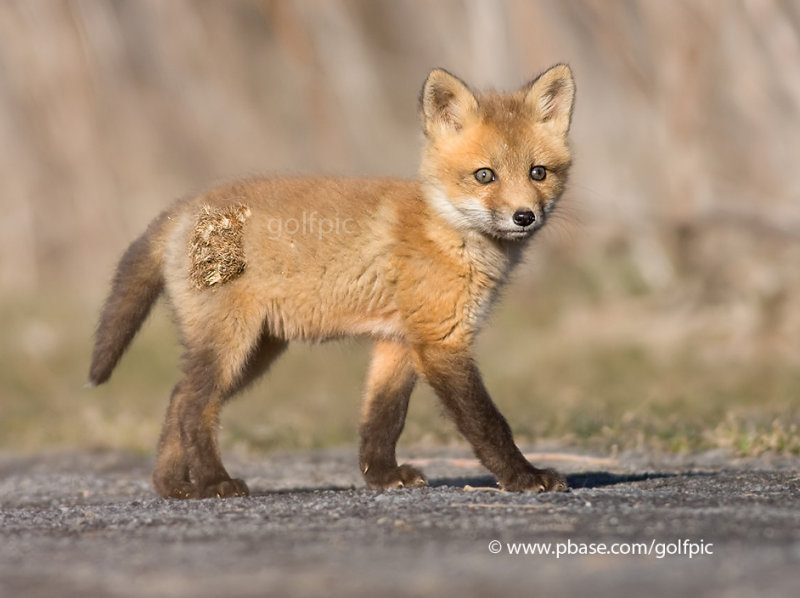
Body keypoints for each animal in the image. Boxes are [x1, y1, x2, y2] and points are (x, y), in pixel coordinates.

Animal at [87, 64, 576, 502]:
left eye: (538, 172)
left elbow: (382, 419)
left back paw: (172, 486)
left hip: (254, 354)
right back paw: (213, 483)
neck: (445, 230)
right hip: (231, 346)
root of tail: (184, 207)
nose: (525, 216)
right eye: (484, 175)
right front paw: (523, 477)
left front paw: (383, 477)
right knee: (192, 406)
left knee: (175, 398)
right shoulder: (441, 342)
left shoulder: (398, 341)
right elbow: (489, 422)